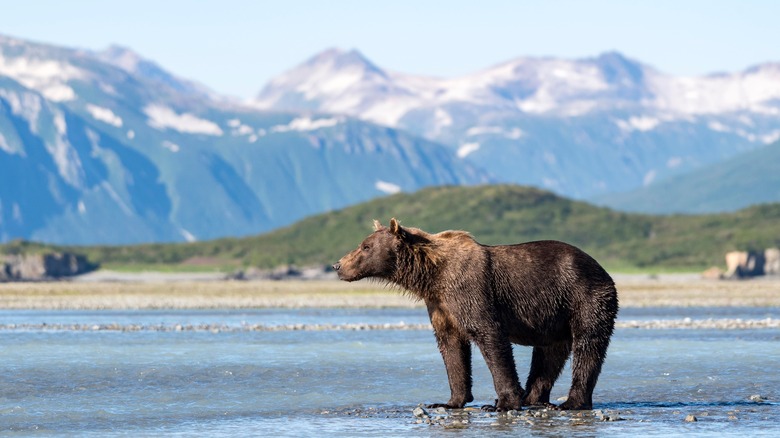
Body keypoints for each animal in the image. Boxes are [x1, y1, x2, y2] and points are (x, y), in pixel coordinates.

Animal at [332, 221, 620, 412]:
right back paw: (534, 398)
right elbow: (452, 348)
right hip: (554, 317)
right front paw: (450, 401)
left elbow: (489, 336)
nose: (337, 265)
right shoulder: (441, 305)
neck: (432, 275)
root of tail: (603, 270)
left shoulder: (470, 291)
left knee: (587, 346)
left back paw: (571, 402)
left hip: (584, 297)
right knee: (549, 355)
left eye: (365, 246)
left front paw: (503, 402)